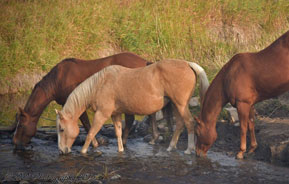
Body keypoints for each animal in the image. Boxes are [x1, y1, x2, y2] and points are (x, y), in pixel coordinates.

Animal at [11, 51, 151, 148]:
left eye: (21, 125)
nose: (15, 141)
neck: (58, 80)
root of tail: (145, 62)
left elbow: (86, 125)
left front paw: (94, 144)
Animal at [55, 59, 209, 154]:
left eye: (62, 129)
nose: (62, 150)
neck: (100, 85)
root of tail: (187, 64)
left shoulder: (102, 114)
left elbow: (91, 133)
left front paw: (83, 152)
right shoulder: (115, 114)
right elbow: (118, 132)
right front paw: (120, 150)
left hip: (181, 105)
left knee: (189, 123)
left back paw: (189, 149)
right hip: (176, 105)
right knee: (180, 124)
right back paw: (171, 147)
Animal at [194, 30, 288, 160]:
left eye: (197, 133)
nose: (197, 153)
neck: (229, 76)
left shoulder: (242, 104)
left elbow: (243, 127)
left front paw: (240, 152)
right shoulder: (250, 104)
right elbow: (251, 124)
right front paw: (252, 148)